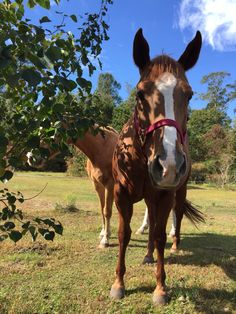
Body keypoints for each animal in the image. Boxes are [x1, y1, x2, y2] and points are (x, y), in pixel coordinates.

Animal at [110, 28, 203, 304]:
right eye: (140, 94)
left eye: (189, 94)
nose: (169, 165)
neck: (140, 157)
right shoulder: (121, 194)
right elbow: (124, 234)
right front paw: (118, 284)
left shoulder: (165, 194)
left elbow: (160, 234)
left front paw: (160, 288)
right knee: (150, 221)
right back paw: (148, 254)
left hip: (177, 193)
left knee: (176, 216)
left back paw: (174, 245)